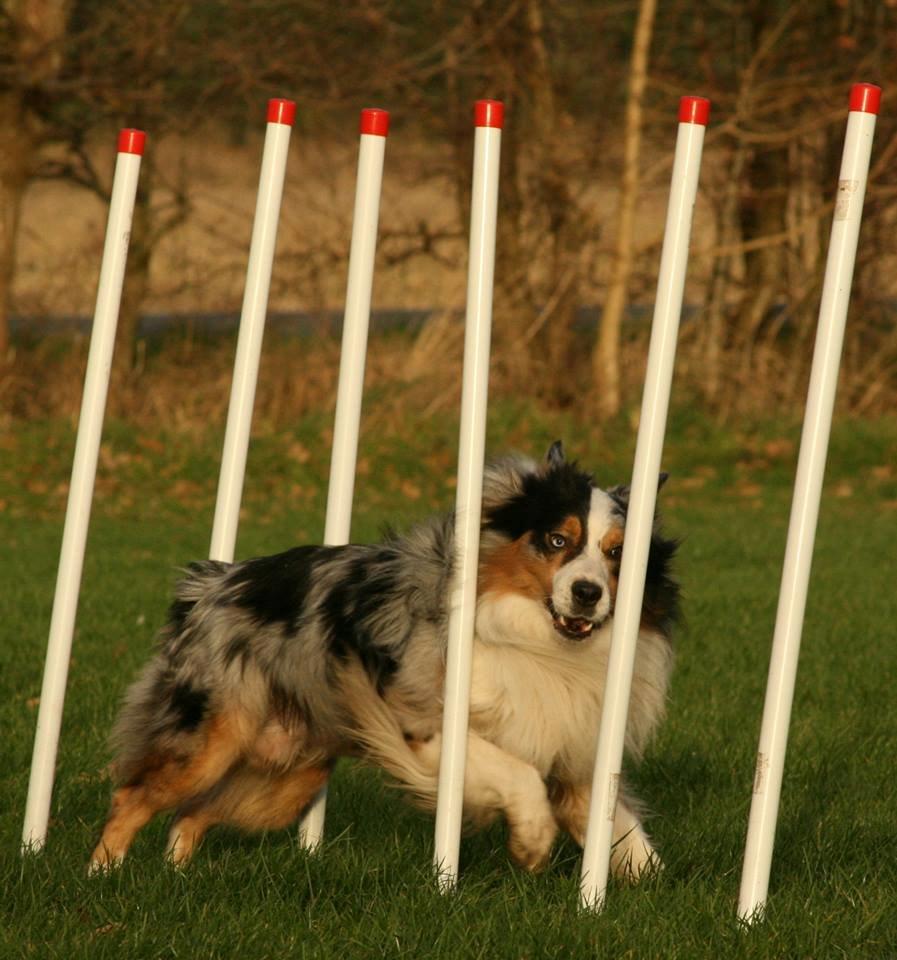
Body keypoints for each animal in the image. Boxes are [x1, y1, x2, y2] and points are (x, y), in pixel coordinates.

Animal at [91, 442, 680, 876]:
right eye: (557, 540)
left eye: (618, 554)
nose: (587, 594)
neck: (536, 638)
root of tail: (210, 583)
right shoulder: (424, 722)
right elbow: (517, 774)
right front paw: (533, 841)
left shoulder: (571, 747)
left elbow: (626, 831)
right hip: (215, 740)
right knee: (133, 796)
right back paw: (105, 876)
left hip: (284, 775)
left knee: (191, 813)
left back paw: (175, 874)